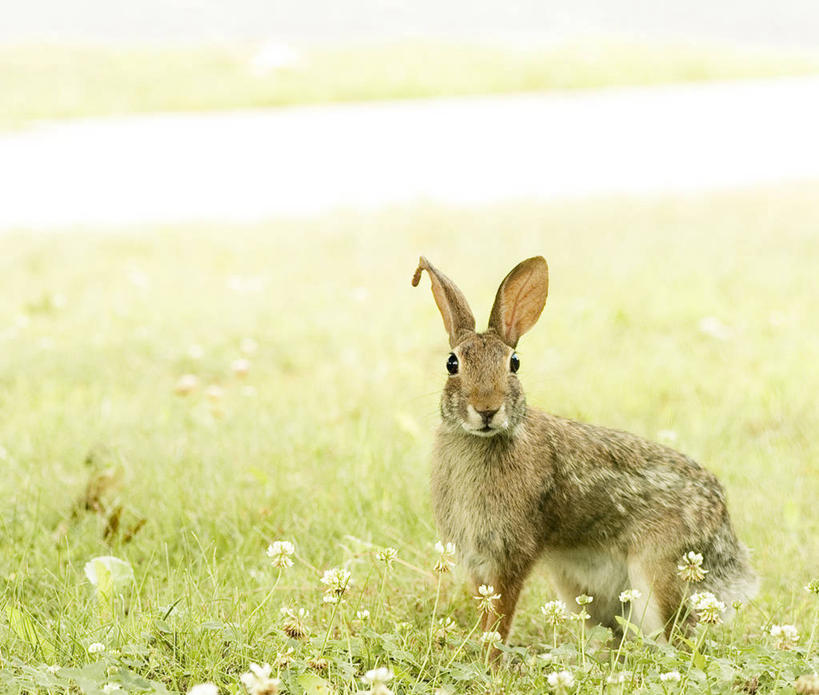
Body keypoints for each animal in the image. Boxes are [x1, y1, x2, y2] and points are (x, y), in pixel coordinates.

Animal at [414, 256, 760, 652]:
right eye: (451, 364)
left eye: (514, 363)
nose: (487, 409)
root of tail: (722, 522)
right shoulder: (478, 559)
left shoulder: (511, 553)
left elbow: (498, 621)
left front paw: (490, 659)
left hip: (659, 575)